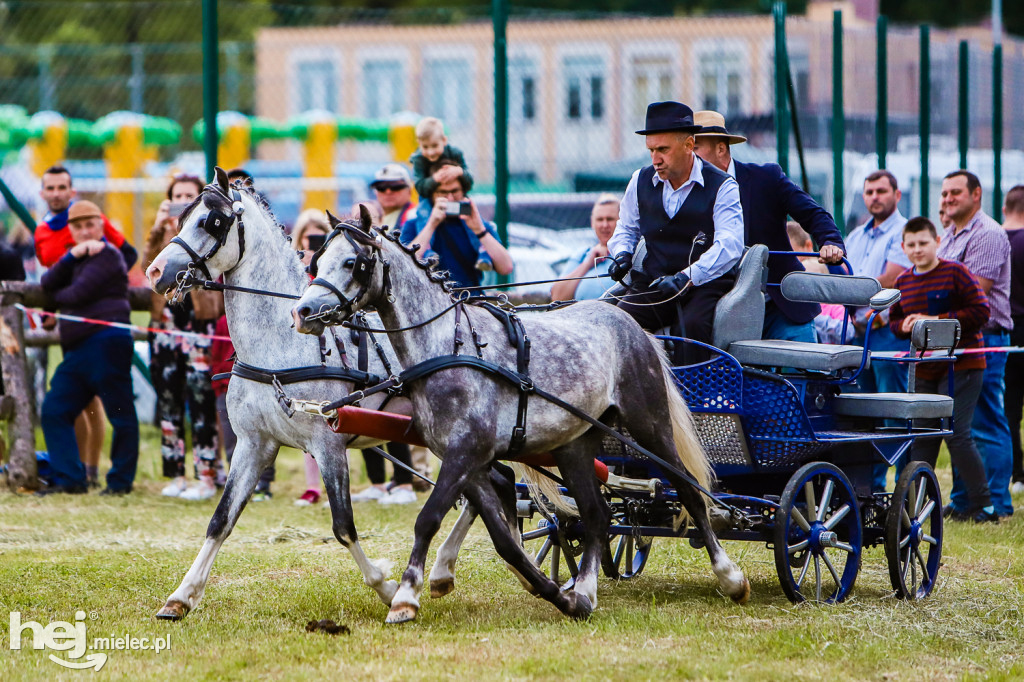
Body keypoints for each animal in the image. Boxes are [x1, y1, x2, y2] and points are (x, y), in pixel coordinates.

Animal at [145, 166, 487, 618]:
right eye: (181, 216)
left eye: (211, 221)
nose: (154, 272)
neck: (280, 347)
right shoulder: (253, 444)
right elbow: (221, 520)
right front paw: (181, 596)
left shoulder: (328, 446)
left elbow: (343, 525)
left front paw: (385, 586)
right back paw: (444, 571)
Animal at [292, 209, 749, 622]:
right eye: (316, 260)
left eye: (353, 262)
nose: (303, 312)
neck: (447, 347)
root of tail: (629, 322)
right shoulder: (468, 462)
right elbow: (503, 539)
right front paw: (554, 593)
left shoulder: (465, 453)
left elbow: (428, 518)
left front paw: (405, 597)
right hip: (574, 445)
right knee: (597, 515)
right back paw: (584, 591)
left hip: (650, 426)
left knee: (688, 490)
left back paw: (730, 577)